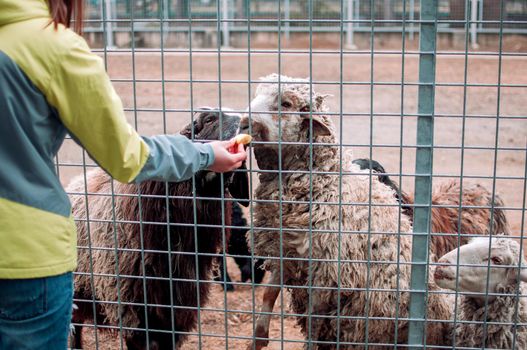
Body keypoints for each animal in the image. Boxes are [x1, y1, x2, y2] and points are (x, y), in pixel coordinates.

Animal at [241, 74, 452, 348]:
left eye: (286, 103)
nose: (243, 123)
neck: (323, 182)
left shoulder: (329, 271)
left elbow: (314, 320)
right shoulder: (285, 251)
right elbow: (268, 294)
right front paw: (258, 338)